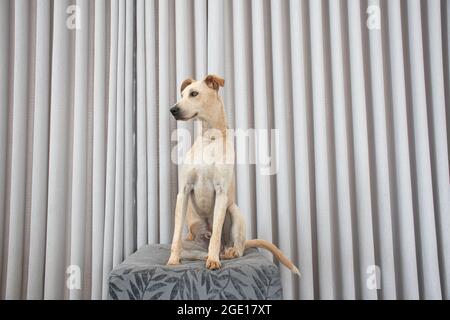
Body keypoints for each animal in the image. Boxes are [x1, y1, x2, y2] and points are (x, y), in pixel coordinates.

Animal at [167, 74, 300, 276]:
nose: (173, 110)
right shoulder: (183, 192)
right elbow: (175, 235)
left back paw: (225, 253)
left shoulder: (221, 194)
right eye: (182, 94)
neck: (210, 138)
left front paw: (214, 261)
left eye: (194, 93)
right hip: (191, 239)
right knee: (195, 250)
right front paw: (173, 260)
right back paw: (206, 255)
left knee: (235, 247)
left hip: (234, 211)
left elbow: (216, 234)